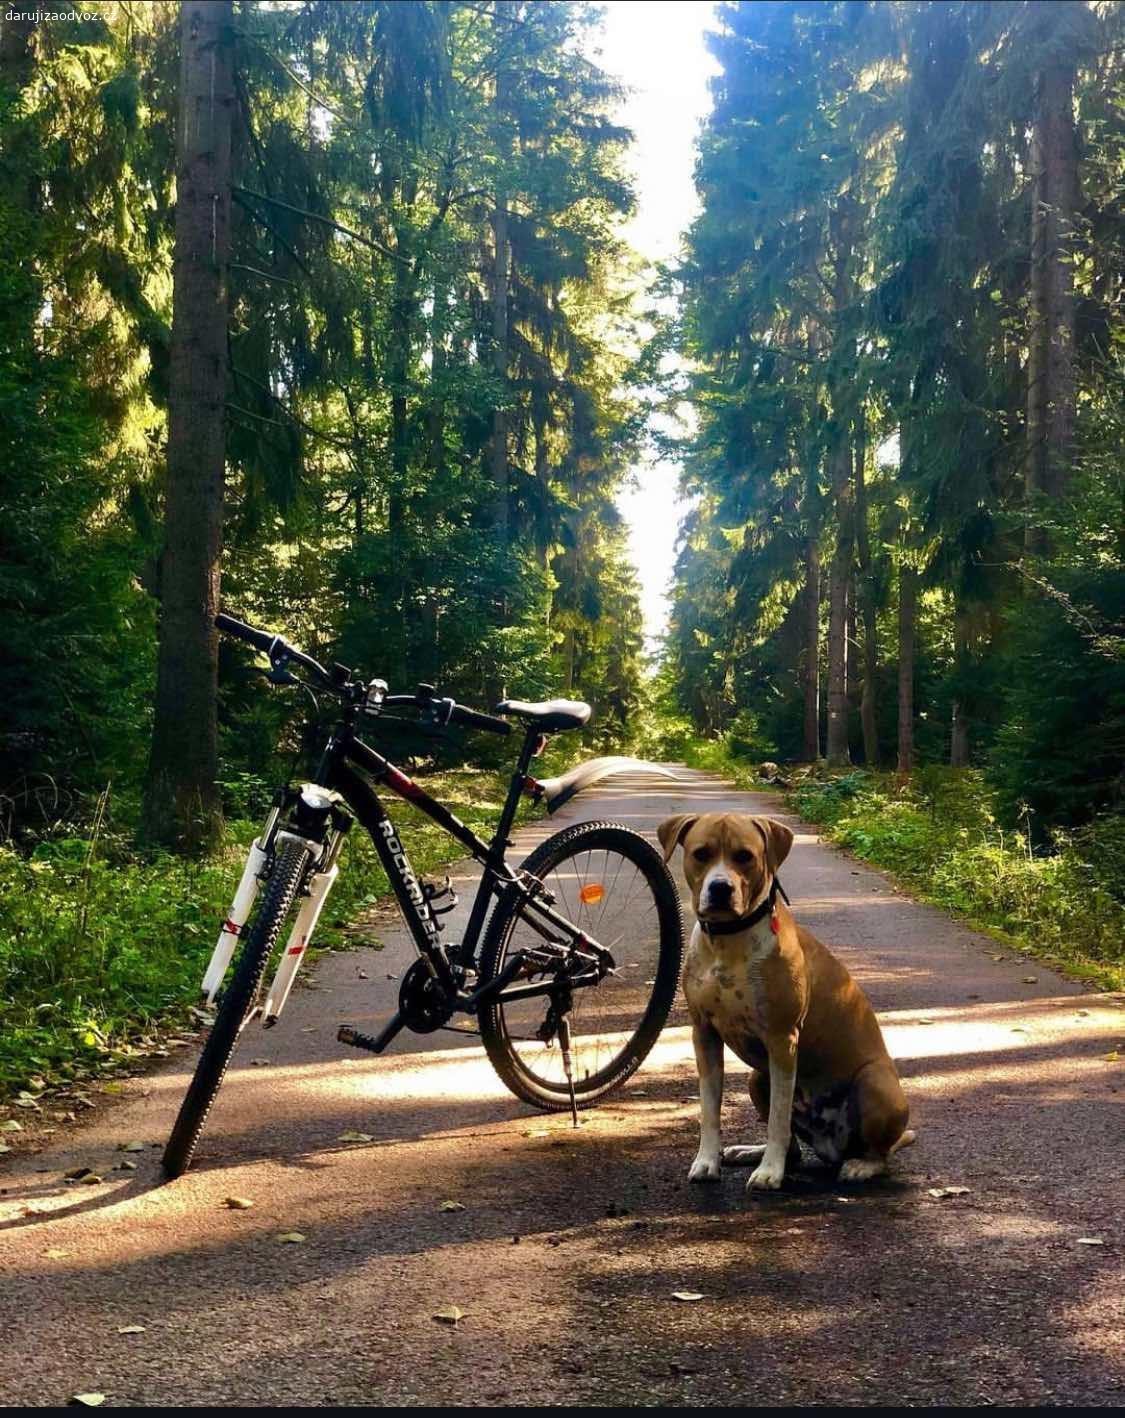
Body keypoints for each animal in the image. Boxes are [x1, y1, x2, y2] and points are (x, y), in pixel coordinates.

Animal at [658, 816, 913, 1191]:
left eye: (745, 856)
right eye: (701, 853)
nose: (720, 888)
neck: (728, 942)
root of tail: (830, 1145)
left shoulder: (782, 1040)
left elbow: (779, 1118)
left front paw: (770, 1172)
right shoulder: (704, 1035)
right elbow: (709, 1109)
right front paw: (706, 1161)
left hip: (876, 1083)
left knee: (879, 1153)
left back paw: (860, 1166)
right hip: (757, 1077)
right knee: (794, 1146)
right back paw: (751, 1151)